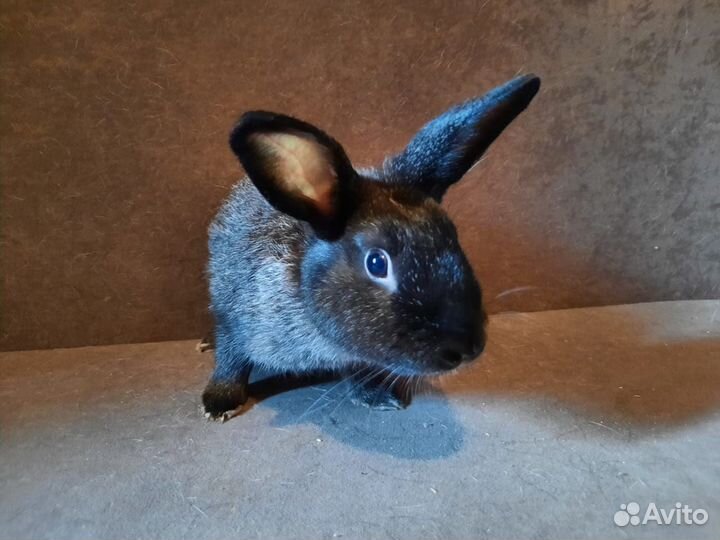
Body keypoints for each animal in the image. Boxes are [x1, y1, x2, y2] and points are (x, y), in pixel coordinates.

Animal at [202, 74, 541, 420]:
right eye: (377, 263)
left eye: (453, 236)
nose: (467, 348)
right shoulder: (235, 317)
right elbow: (231, 360)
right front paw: (218, 403)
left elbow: (360, 369)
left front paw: (377, 396)